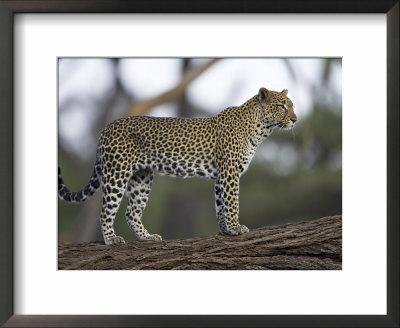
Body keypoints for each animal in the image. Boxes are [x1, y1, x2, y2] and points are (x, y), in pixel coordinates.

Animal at [58, 88, 296, 245]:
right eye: (281, 106)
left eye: (291, 106)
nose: (295, 119)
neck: (261, 129)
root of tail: (106, 128)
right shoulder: (229, 172)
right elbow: (232, 202)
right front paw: (237, 228)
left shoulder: (221, 175)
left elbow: (220, 204)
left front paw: (225, 230)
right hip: (117, 173)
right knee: (105, 210)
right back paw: (111, 239)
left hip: (141, 178)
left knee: (131, 212)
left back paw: (147, 237)